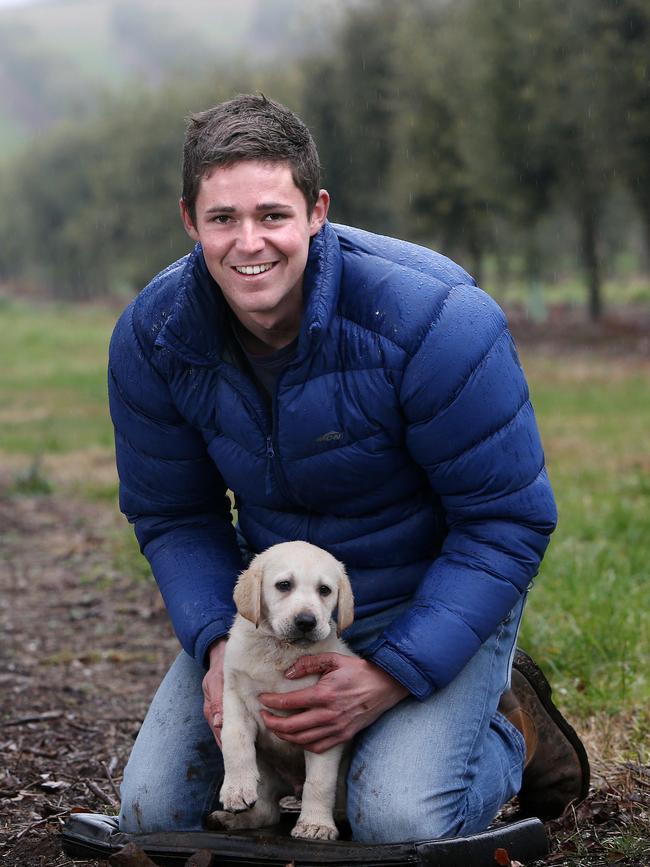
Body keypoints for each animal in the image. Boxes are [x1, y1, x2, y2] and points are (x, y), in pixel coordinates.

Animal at [206, 544, 354, 840]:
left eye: (325, 590)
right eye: (284, 585)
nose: (306, 621)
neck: (280, 651)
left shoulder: (325, 724)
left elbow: (319, 782)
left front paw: (315, 824)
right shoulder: (235, 699)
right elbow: (235, 741)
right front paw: (236, 789)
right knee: (266, 812)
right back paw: (232, 819)